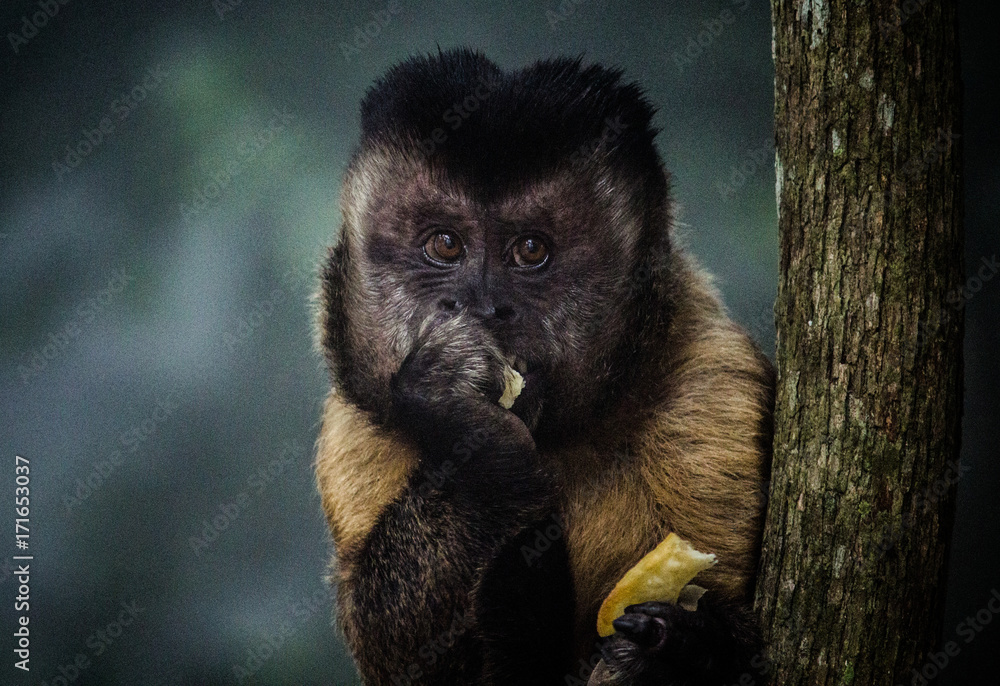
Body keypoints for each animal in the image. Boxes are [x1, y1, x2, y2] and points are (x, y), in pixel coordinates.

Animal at [314, 48, 774, 685]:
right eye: (445, 245)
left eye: (531, 250)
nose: (482, 306)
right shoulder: (352, 429)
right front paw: (471, 439)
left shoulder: (716, 388)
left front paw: (681, 651)